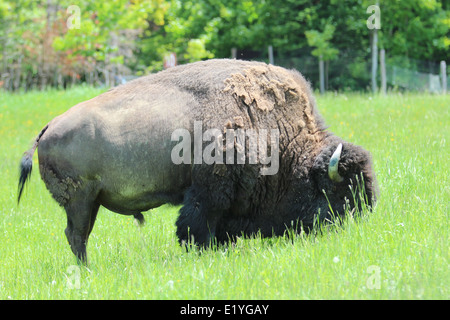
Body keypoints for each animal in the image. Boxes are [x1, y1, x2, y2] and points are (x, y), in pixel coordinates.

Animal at [17, 58, 376, 262]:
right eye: (337, 194)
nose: (346, 227)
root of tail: (46, 130)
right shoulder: (208, 192)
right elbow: (196, 226)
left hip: (88, 202)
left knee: (77, 235)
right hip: (80, 200)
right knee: (77, 235)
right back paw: (87, 271)